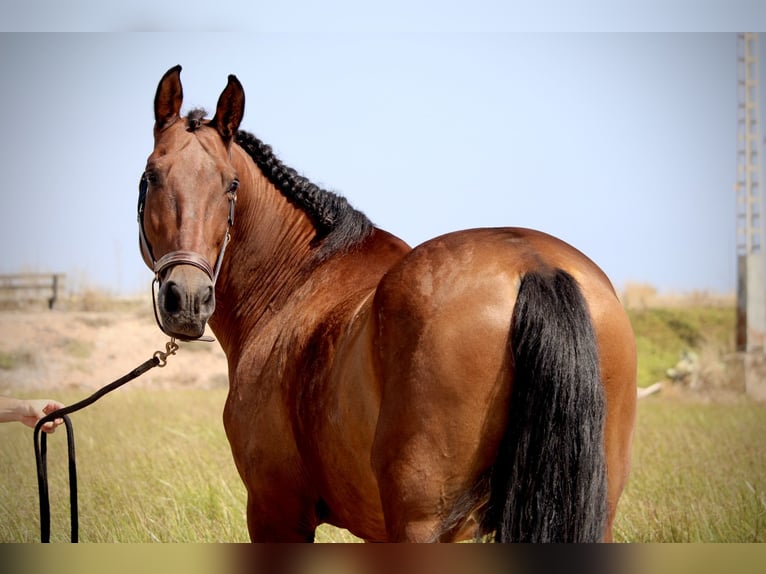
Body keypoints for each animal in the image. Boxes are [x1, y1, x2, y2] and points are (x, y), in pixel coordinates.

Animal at [138, 65, 637, 542]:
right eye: (153, 175)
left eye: (231, 184)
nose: (187, 297)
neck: (294, 280)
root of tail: (534, 264)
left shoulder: (275, 513)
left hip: (422, 523)